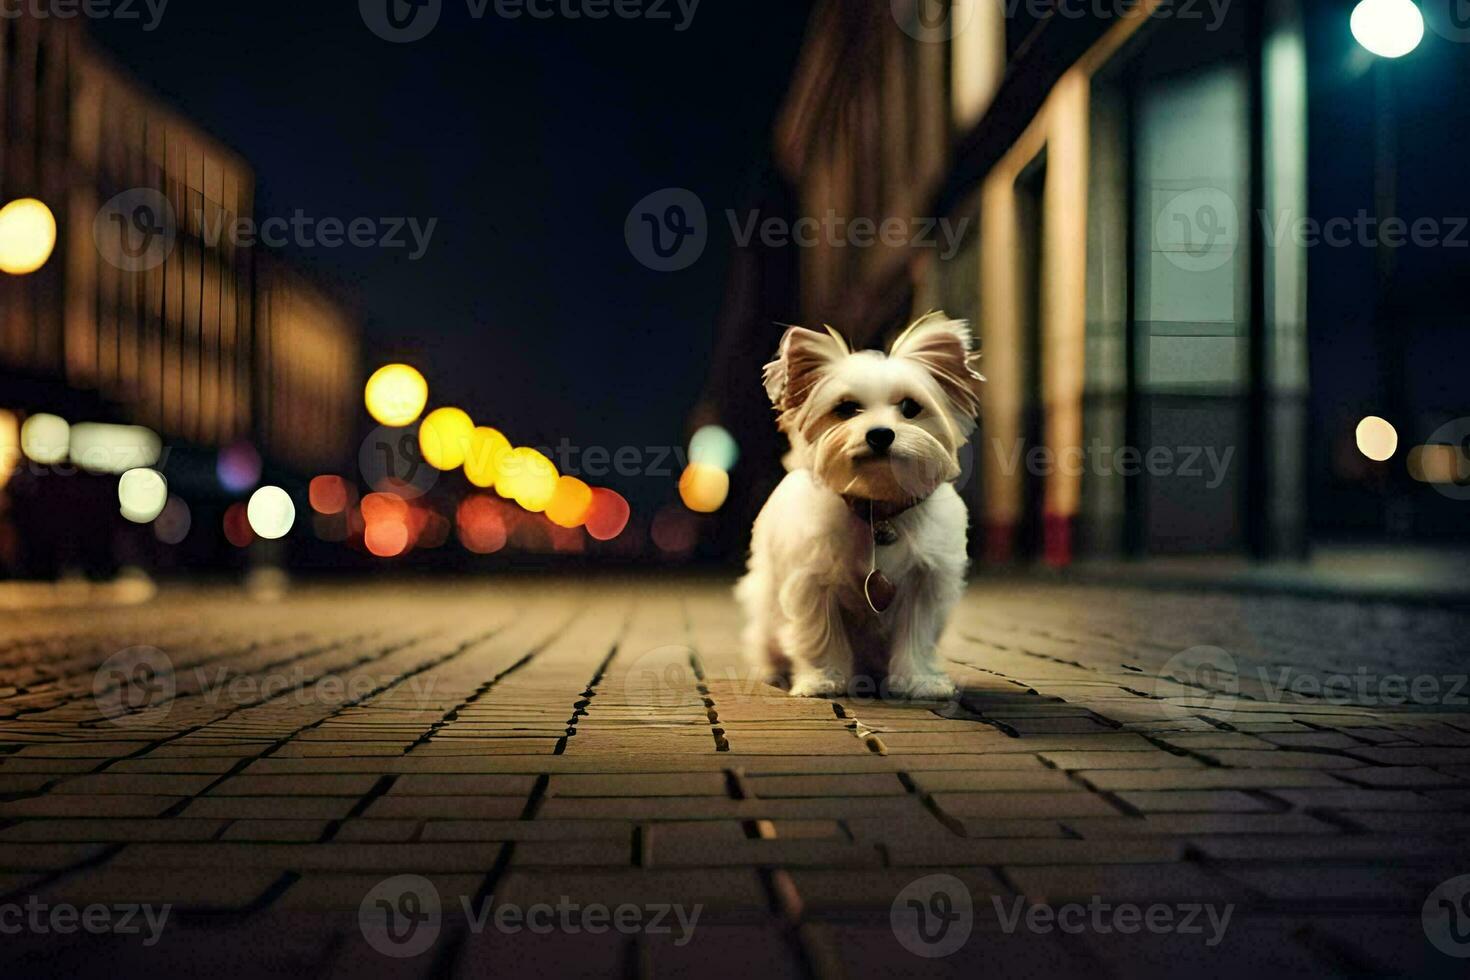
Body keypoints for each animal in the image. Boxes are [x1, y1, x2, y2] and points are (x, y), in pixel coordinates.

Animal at [735, 310, 987, 702]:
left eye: (910, 407)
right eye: (845, 409)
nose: (880, 434)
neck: (878, 507)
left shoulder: (926, 584)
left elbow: (917, 637)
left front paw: (921, 681)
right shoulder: (812, 584)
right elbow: (820, 635)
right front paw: (823, 679)